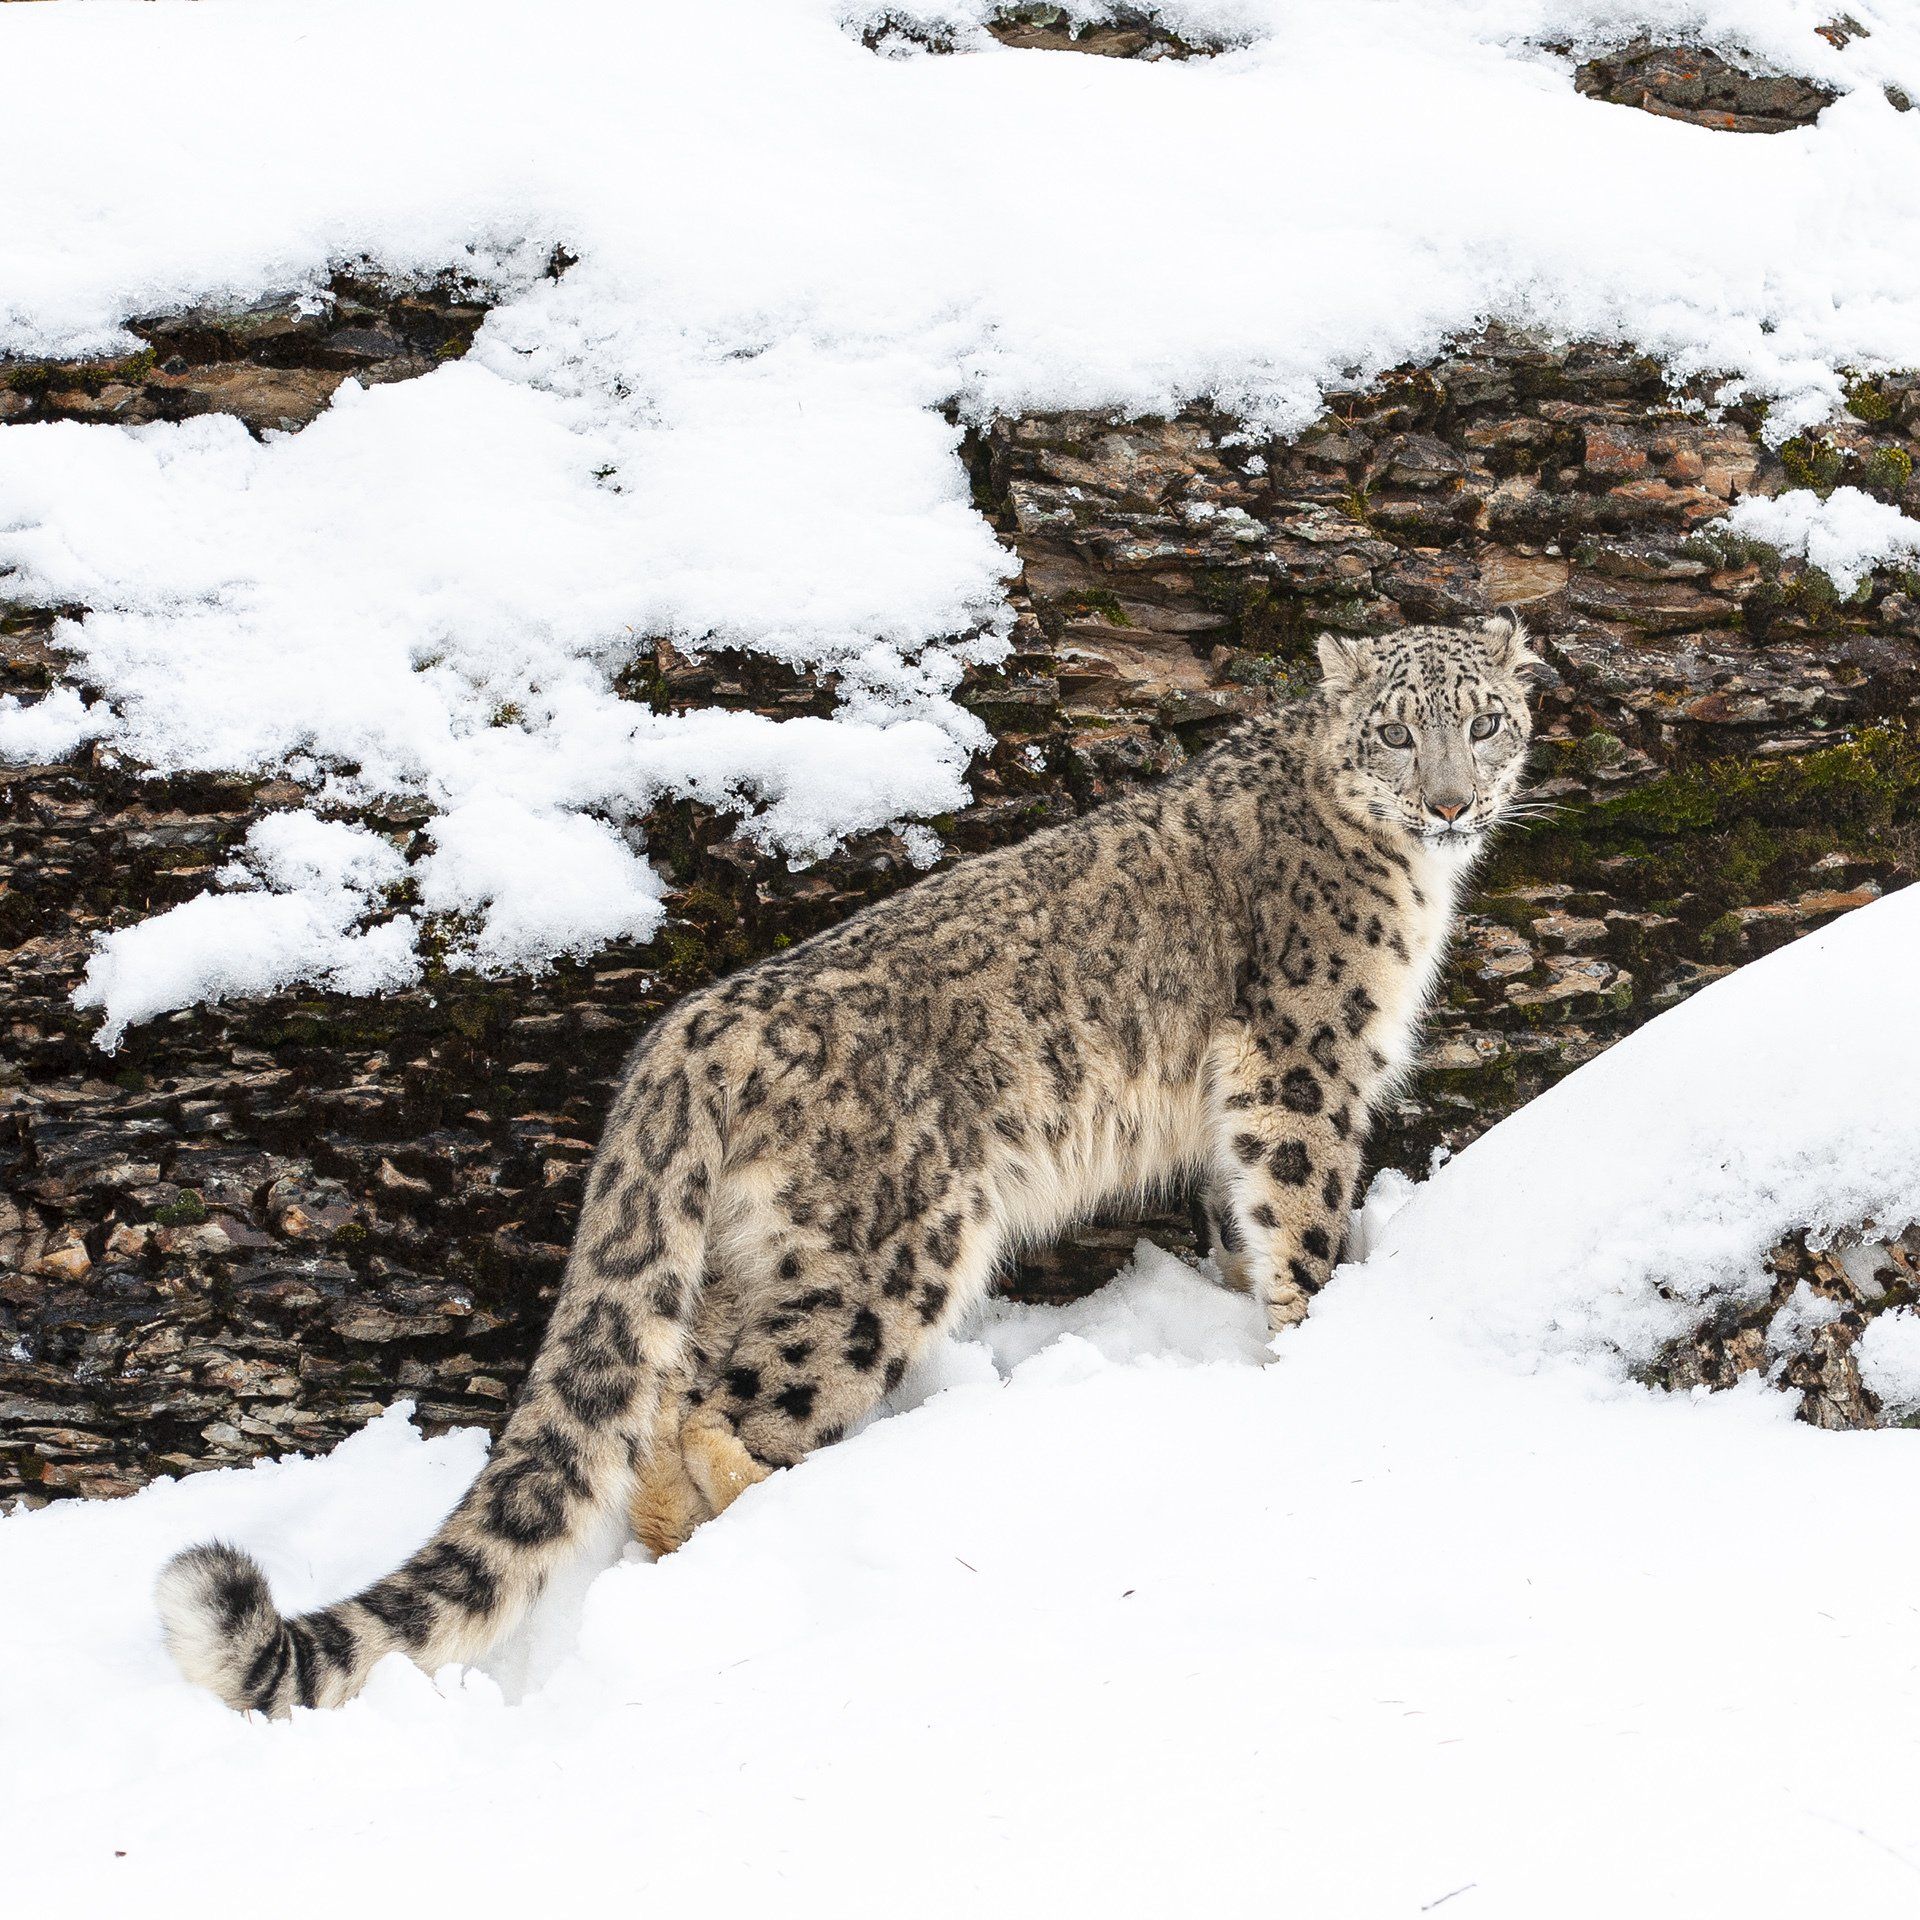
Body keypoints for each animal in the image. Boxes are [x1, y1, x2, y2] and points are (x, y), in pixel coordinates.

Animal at [157, 614, 1537, 1715]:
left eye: (1484, 721)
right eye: (1397, 734)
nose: (1453, 804)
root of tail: (687, 1032)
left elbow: (1235, 1218)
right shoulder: (1302, 1062)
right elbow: (1297, 1212)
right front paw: (1320, 1345)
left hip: (746, 1253)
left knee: (663, 1392)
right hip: (890, 1250)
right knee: (724, 1399)